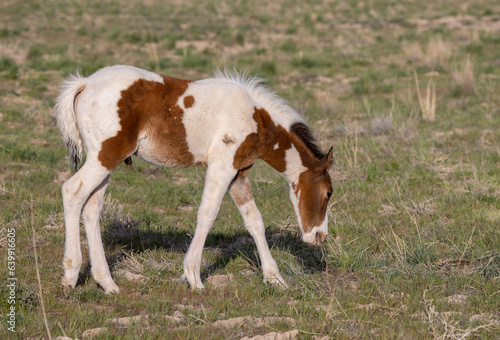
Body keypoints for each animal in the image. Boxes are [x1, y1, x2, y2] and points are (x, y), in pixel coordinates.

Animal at [55, 65, 332, 292]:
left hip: (105, 162)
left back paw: (107, 283)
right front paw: (193, 277)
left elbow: (254, 221)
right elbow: (208, 213)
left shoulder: (238, 173)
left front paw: (275, 278)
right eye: (329, 193)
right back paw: (70, 274)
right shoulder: (222, 166)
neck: (256, 117)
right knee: (72, 191)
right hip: (105, 156)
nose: (320, 236)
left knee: (92, 208)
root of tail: (84, 83)